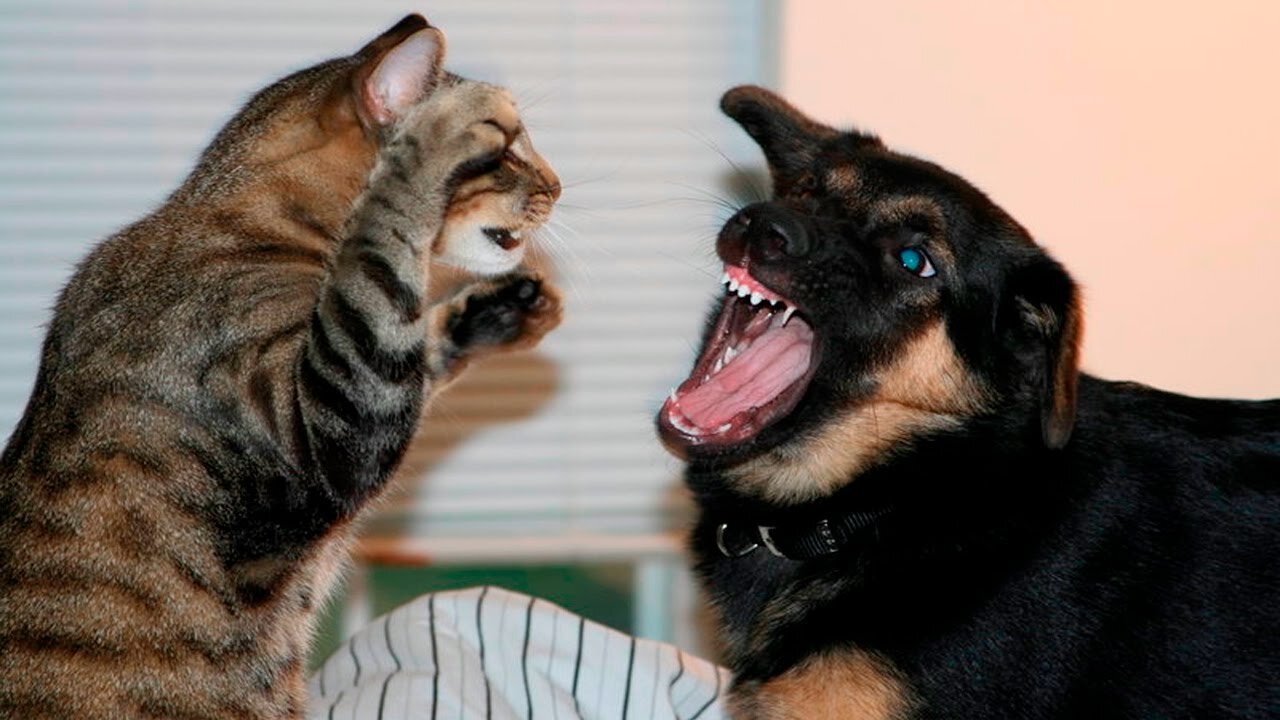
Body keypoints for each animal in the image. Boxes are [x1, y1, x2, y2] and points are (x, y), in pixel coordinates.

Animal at [0, 14, 565, 712]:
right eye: (505, 148)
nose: (556, 186)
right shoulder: (325, 421)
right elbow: (380, 270)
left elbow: (408, 332)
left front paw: (505, 307)